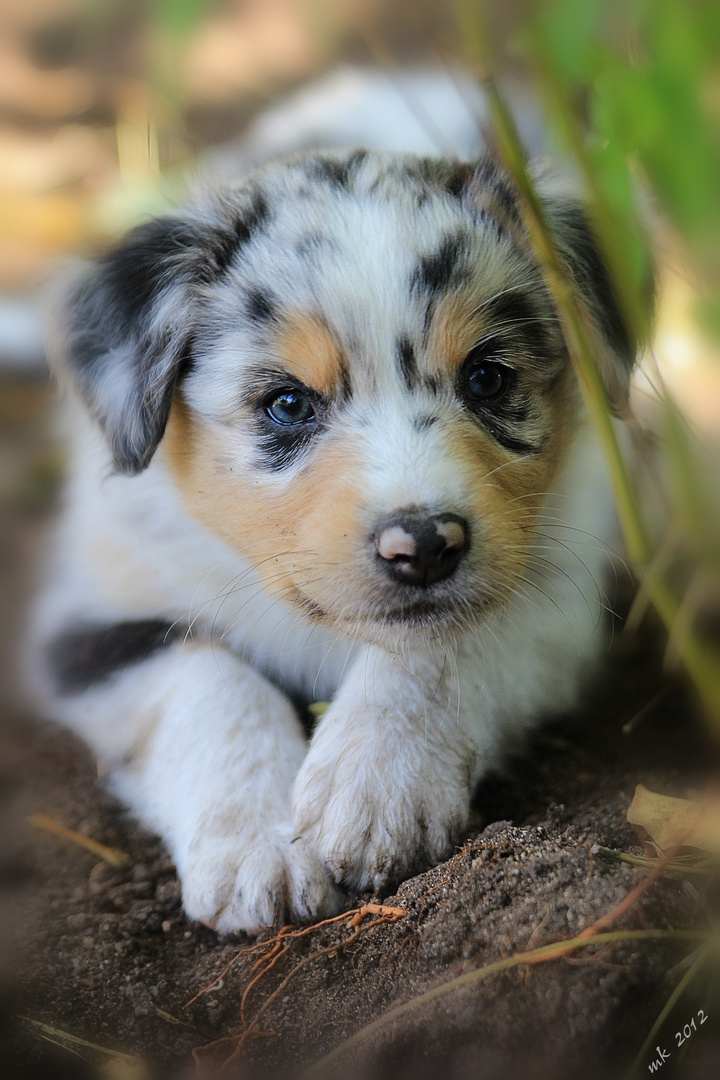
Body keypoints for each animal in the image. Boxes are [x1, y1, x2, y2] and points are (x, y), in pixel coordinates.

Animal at [29, 95, 643, 937]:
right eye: (288, 404)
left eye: (488, 378)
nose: (425, 547)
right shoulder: (89, 625)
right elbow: (210, 681)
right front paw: (259, 848)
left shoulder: (554, 591)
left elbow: (448, 642)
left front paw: (376, 785)